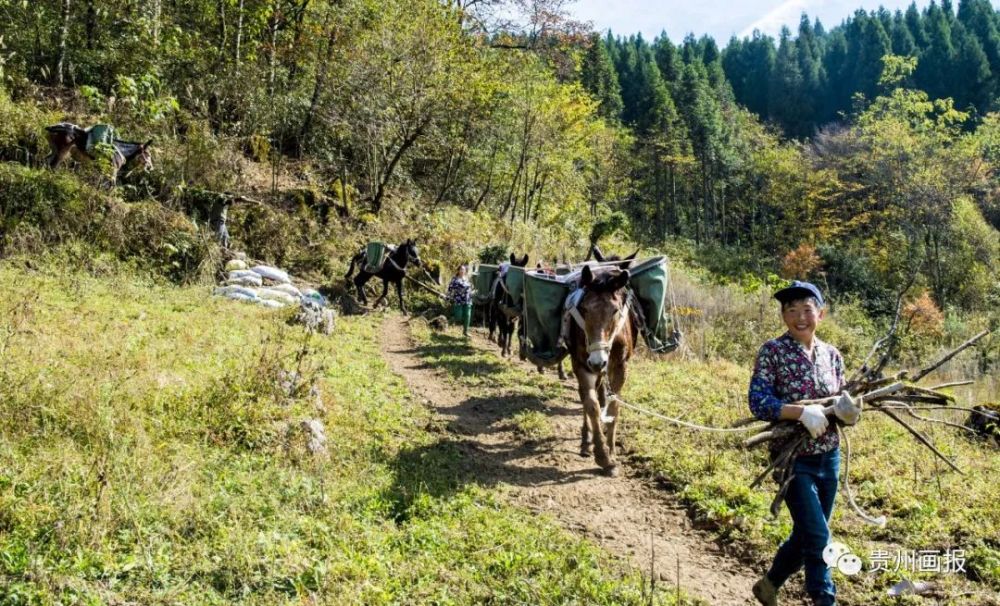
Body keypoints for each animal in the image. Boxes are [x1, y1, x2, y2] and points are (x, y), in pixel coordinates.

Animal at [568, 264, 636, 478]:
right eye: (583, 309)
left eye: (615, 311)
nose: (598, 362)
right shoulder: (582, 365)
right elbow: (592, 405)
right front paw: (603, 457)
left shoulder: (620, 367)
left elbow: (614, 406)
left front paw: (612, 451)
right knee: (586, 396)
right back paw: (586, 442)